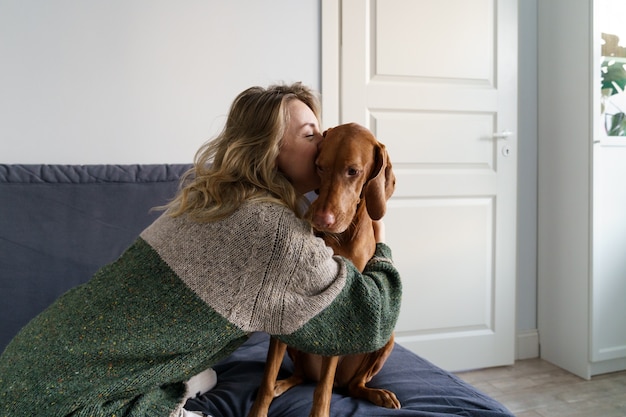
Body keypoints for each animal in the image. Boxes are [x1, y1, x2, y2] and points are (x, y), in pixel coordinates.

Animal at [247, 122, 398, 416]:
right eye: (319, 166)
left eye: (353, 171)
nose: (321, 219)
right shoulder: (283, 311)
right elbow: (267, 378)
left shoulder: (346, 307)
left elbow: (323, 390)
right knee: (302, 376)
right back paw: (282, 385)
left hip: (386, 339)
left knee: (349, 386)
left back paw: (377, 394)